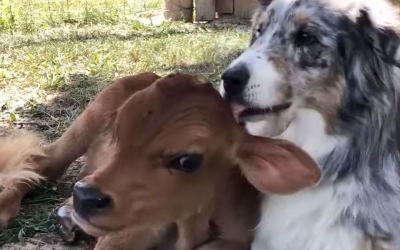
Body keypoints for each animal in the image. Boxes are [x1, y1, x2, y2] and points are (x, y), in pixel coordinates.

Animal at [0, 72, 320, 250]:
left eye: (188, 161)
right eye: (117, 130)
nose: (85, 197)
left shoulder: (239, 238)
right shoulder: (126, 233)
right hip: (88, 119)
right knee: (44, 163)